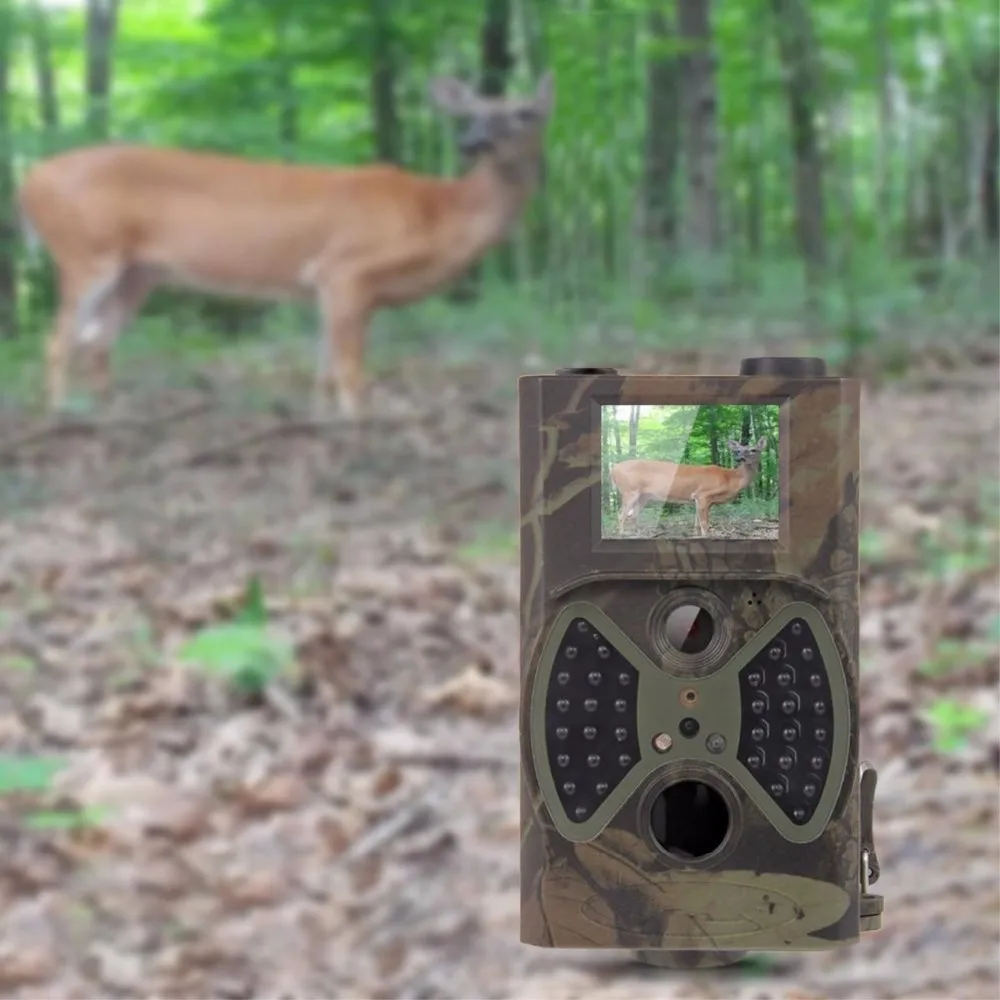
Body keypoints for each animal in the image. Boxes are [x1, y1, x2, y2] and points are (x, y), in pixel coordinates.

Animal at [17, 72, 554, 419]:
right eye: (471, 113)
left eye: (524, 113)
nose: (470, 143)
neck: (438, 213)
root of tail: (29, 179)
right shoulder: (345, 268)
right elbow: (350, 367)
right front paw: (358, 421)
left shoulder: (332, 288)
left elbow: (324, 368)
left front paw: (320, 419)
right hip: (86, 252)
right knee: (58, 340)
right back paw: (61, 414)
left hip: (138, 272)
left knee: (97, 340)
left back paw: (111, 413)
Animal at [610, 437, 769, 538]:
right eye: (738, 450)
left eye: (754, 450)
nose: (739, 458)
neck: (730, 478)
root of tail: (613, 469)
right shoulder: (703, 494)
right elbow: (704, 524)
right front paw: (706, 536)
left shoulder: (702, 500)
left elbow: (697, 522)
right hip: (629, 490)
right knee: (621, 514)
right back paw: (622, 534)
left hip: (643, 496)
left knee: (633, 514)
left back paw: (638, 534)